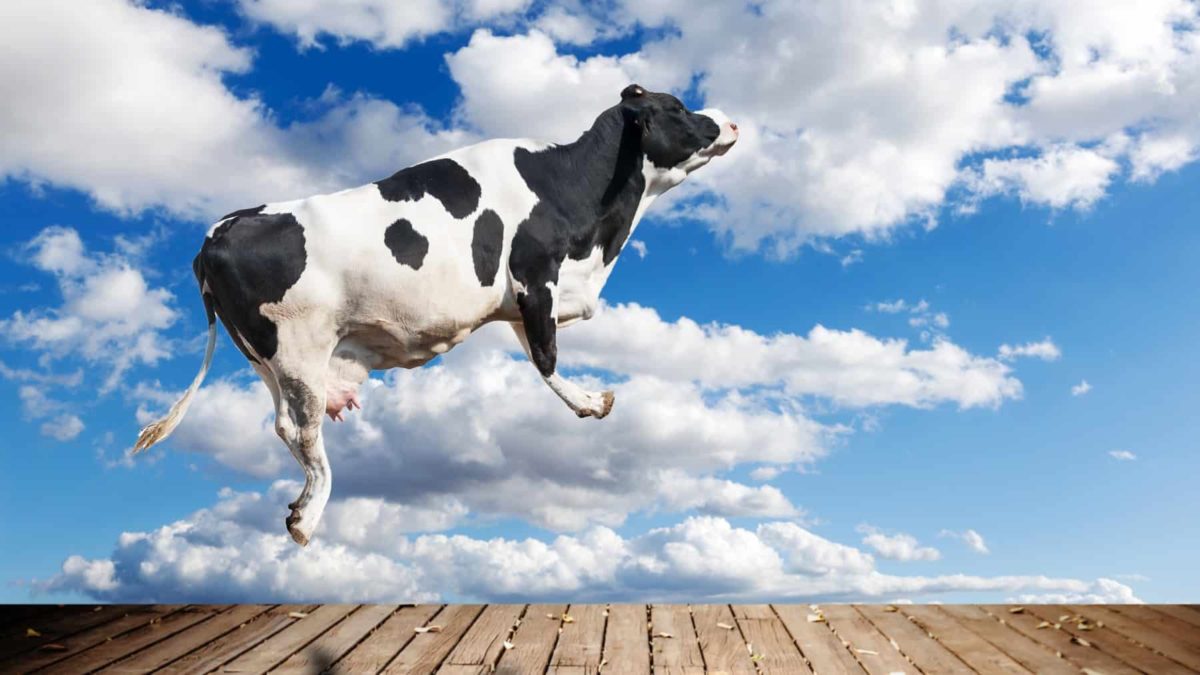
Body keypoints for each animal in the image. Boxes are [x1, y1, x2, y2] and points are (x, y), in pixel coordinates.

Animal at [133, 84, 739, 546]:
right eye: (678, 107)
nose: (731, 119)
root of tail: (218, 229)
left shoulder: (523, 298)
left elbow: (537, 351)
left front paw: (590, 400)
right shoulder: (535, 274)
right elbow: (546, 359)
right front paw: (590, 402)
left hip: (269, 359)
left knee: (285, 423)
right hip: (298, 348)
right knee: (301, 430)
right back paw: (308, 514)